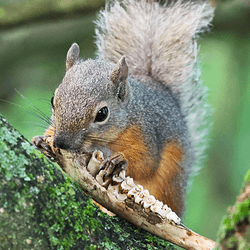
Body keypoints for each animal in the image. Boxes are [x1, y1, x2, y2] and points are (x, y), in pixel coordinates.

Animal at [33, 0, 215, 218]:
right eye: (53, 100)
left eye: (102, 114)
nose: (61, 143)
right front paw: (41, 141)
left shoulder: (145, 134)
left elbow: (146, 163)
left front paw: (119, 162)